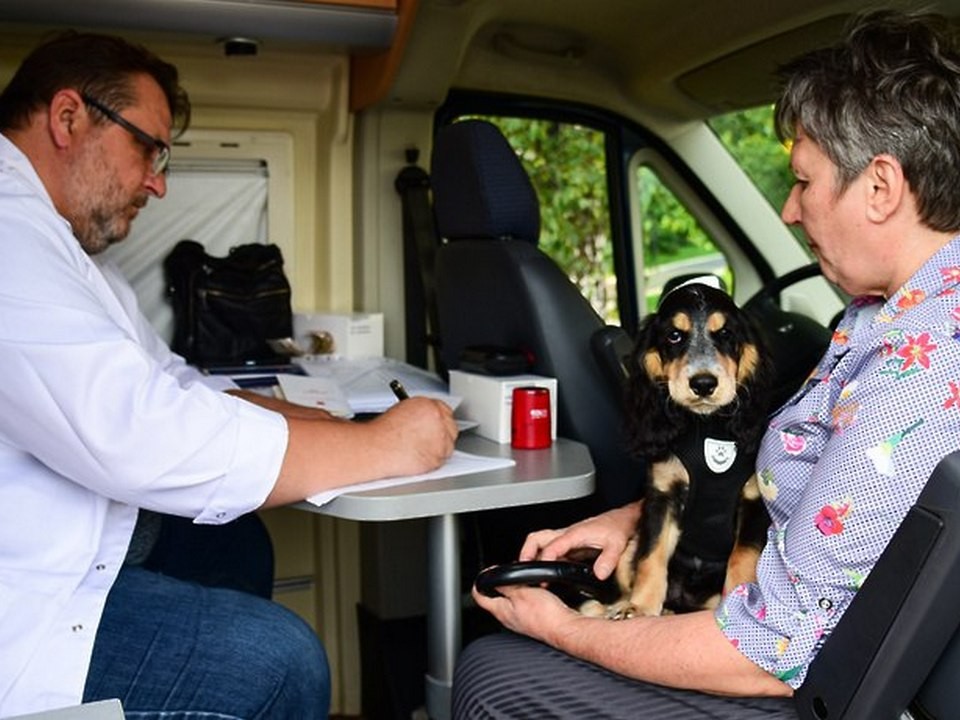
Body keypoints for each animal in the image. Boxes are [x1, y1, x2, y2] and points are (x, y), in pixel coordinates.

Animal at [584, 282, 772, 620]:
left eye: (726, 334)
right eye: (674, 336)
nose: (703, 383)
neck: (707, 426)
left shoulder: (752, 502)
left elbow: (743, 557)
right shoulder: (662, 497)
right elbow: (652, 556)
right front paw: (640, 606)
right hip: (629, 546)